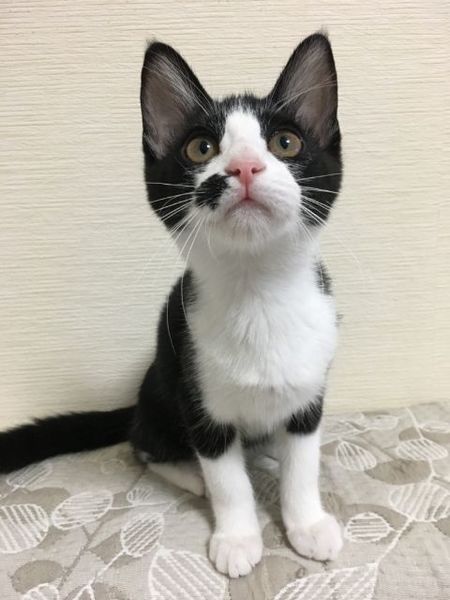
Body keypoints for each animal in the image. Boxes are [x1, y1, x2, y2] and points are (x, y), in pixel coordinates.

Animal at [0, 32, 343, 577]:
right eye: (201, 147)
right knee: (144, 445)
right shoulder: (195, 392)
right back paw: (192, 473)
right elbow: (228, 479)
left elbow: (303, 463)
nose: (244, 167)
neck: (258, 294)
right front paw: (238, 537)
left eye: (285, 142)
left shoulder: (310, 391)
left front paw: (307, 523)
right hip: (162, 392)